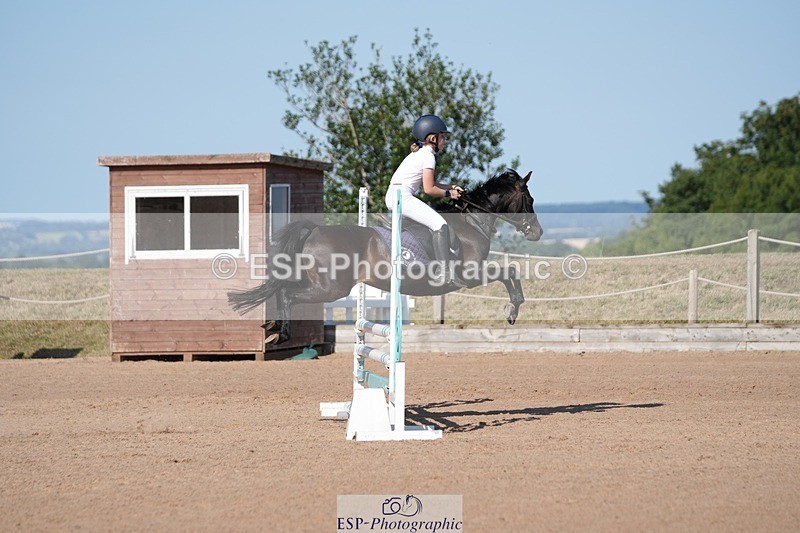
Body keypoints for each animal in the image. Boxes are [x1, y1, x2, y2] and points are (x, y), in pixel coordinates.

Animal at [228, 169, 543, 345]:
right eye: (529, 200)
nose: (538, 233)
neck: (472, 222)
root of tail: (315, 230)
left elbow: (509, 272)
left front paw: (513, 309)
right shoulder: (469, 276)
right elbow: (509, 272)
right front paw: (512, 310)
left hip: (319, 283)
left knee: (282, 290)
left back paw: (273, 328)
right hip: (330, 288)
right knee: (288, 294)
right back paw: (281, 334)